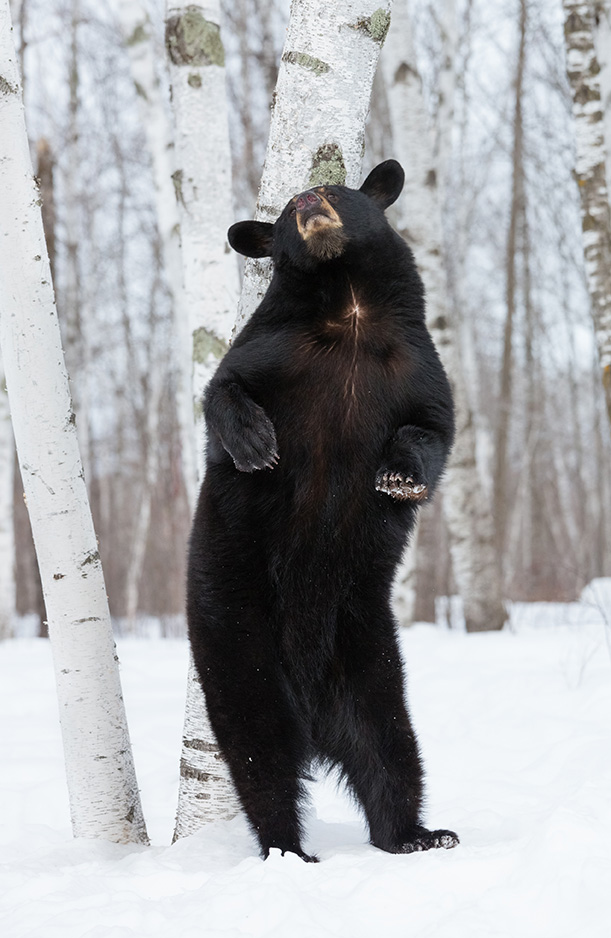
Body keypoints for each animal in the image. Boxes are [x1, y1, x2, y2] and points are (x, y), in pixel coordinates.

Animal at [187, 159, 458, 861]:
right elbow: (223, 386)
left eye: (336, 190)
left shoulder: (418, 366)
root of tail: (313, 715)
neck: (349, 307)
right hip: (239, 642)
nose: (310, 196)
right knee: (261, 757)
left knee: (390, 752)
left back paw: (420, 835)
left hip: (370, 657)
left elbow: (432, 429)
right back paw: (290, 849)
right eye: (287, 208)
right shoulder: (274, 349)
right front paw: (256, 444)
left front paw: (398, 476)